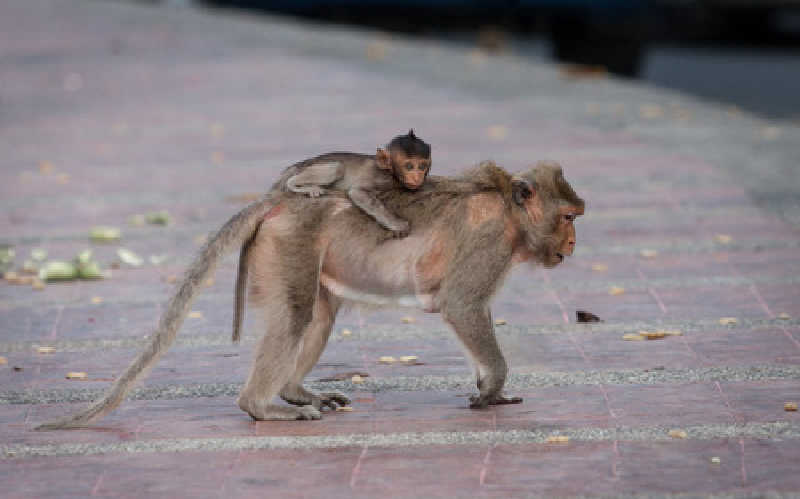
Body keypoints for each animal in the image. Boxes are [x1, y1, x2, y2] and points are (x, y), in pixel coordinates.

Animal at [37, 160, 584, 430]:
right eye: (568, 217)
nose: (574, 243)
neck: (508, 212)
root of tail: (276, 201)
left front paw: (487, 389)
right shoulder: (488, 243)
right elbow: (462, 305)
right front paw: (493, 389)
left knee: (318, 316)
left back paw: (295, 390)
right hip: (290, 244)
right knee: (297, 315)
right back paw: (263, 406)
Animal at [276, 129, 432, 238]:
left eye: (422, 166)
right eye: (409, 166)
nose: (417, 177)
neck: (391, 173)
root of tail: (302, 163)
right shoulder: (378, 177)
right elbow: (358, 193)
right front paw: (397, 225)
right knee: (337, 168)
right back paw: (303, 186)